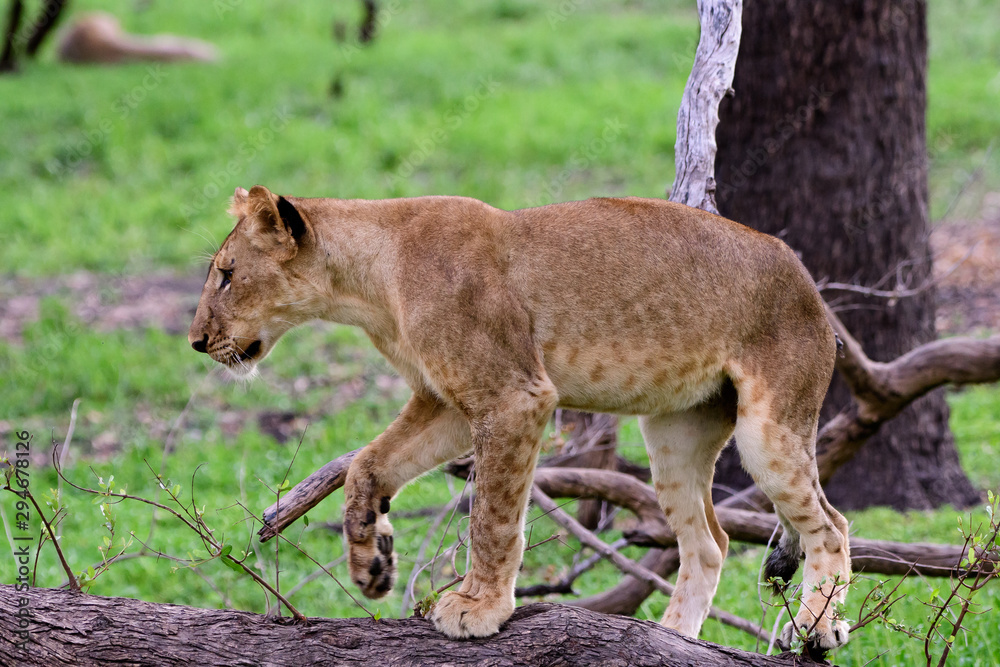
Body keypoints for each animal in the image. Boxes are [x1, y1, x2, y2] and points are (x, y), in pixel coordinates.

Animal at [189, 185, 851, 653]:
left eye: (226, 274)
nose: (196, 341)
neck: (370, 287)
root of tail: (804, 277)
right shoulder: (446, 404)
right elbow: (367, 466)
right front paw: (372, 562)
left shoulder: (513, 395)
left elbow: (493, 515)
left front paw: (478, 608)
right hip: (674, 436)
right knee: (710, 544)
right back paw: (672, 639)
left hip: (767, 430)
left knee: (832, 525)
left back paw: (819, 628)